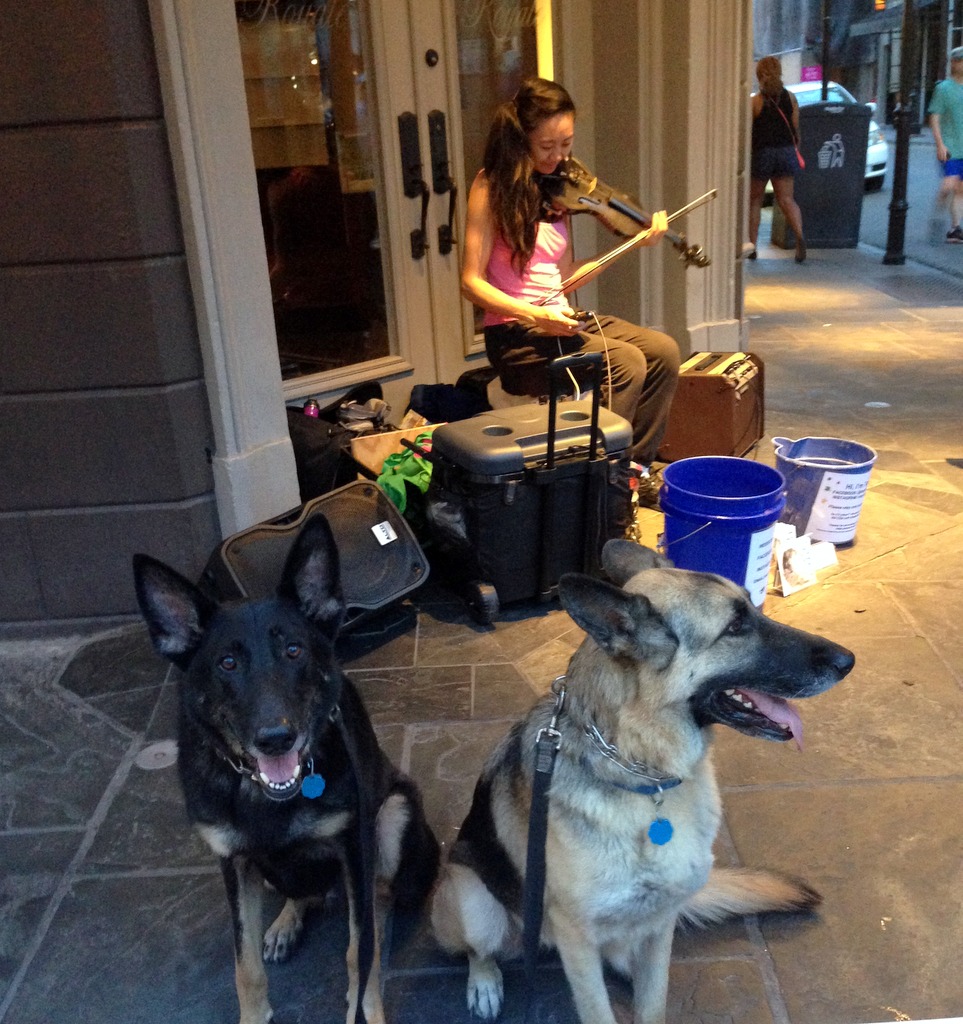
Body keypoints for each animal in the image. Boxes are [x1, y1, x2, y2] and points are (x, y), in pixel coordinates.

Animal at [133, 514, 440, 1024]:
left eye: (294, 651)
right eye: (227, 662)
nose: (276, 737)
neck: (263, 794)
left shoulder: (355, 846)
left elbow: (358, 951)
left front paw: (364, 1004)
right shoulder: (234, 863)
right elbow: (245, 966)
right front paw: (254, 1014)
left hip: (393, 814)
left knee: (377, 901)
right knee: (302, 894)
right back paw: (284, 923)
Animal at [431, 540, 855, 1024]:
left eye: (752, 609)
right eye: (735, 627)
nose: (849, 661)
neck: (643, 774)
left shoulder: (661, 923)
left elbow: (654, 1000)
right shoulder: (576, 940)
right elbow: (597, 1010)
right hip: (474, 900)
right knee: (479, 949)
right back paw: (484, 981)